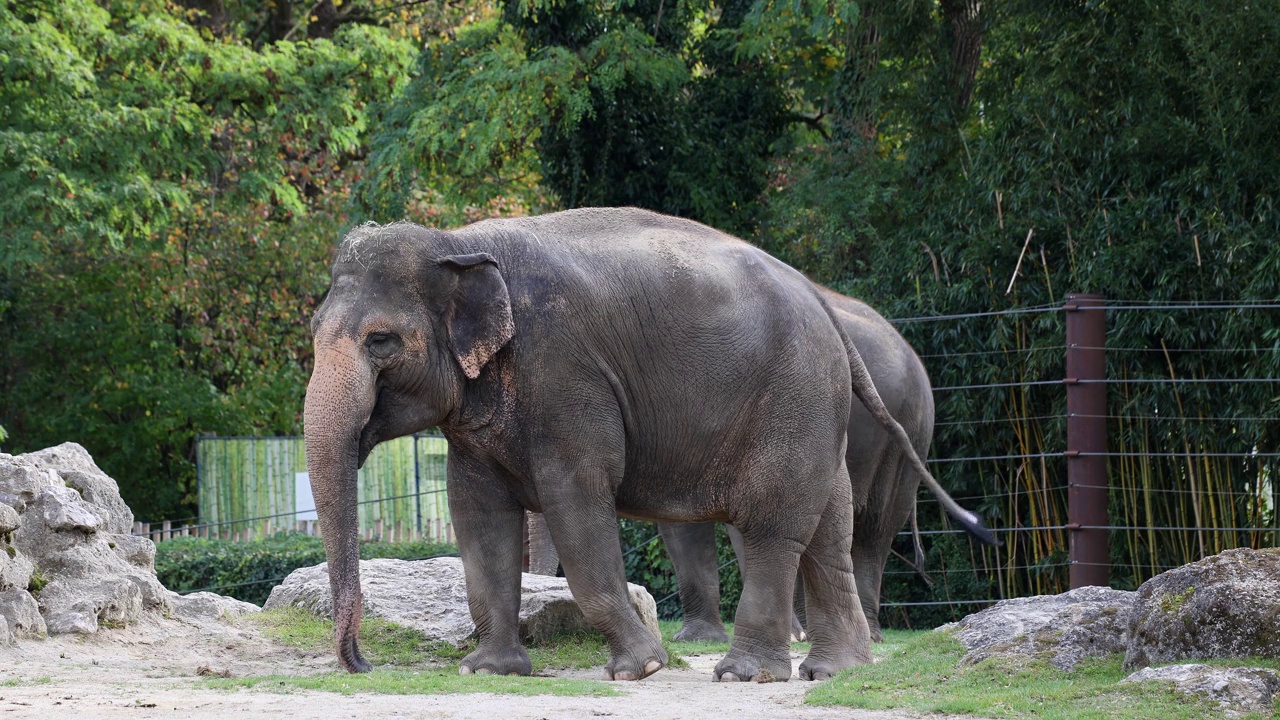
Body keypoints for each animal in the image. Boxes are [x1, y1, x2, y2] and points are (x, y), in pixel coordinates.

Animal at [302, 206, 988, 676]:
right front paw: (488, 671)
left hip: (797, 397)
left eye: (380, 341)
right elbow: (478, 515)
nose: (361, 662)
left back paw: (745, 675)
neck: (456, 241)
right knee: (827, 526)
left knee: (776, 523)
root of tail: (822, 304)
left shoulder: (565, 374)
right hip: (816, 408)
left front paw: (641, 668)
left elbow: (577, 499)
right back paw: (835, 670)